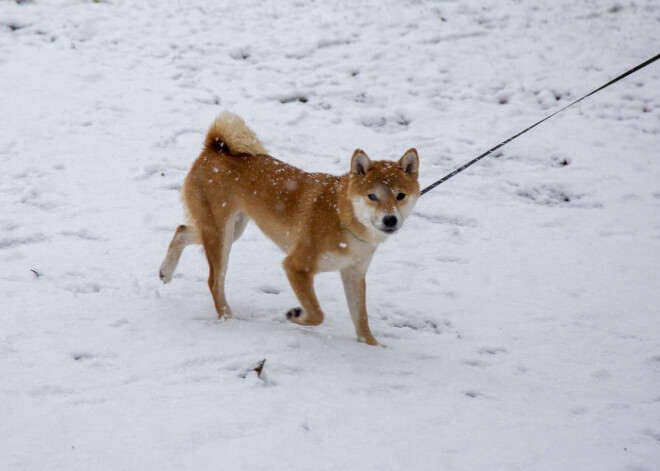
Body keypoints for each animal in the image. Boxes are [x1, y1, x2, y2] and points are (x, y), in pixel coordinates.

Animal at [157, 112, 420, 344]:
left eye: (400, 196)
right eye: (372, 196)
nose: (390, 220)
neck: (344, 218)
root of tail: (213, 148)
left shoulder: (354, 275)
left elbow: (361, 321)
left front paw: (373, 347)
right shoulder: (296, 266)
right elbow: (317, 313)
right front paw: (296, 316)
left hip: (231, 230)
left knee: (182, 230)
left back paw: (165, 271)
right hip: (221, 236)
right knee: (214, 281)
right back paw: (228, 319)